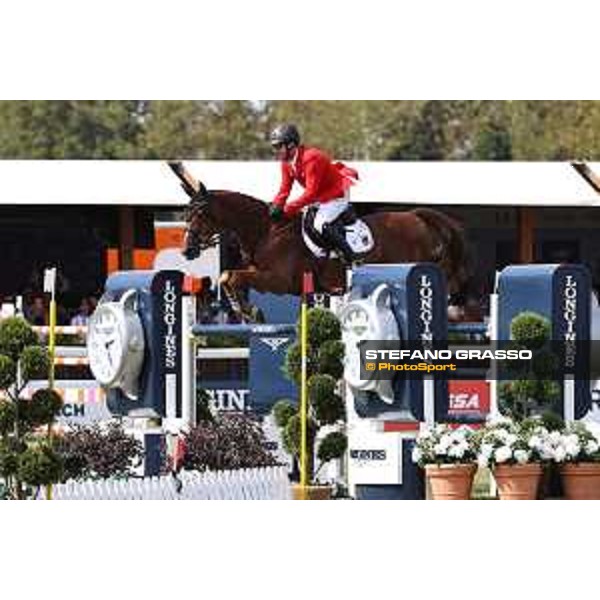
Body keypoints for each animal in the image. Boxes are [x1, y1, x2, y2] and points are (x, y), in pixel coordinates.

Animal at [170, 159, 478, 318]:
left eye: (200, 214)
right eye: (185, 214)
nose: (187, 250)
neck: (267, 232)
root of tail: (418, 216)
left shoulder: (279, 281)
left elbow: (231, 276)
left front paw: (249, 311)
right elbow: (228, 277)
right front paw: (242, 309)